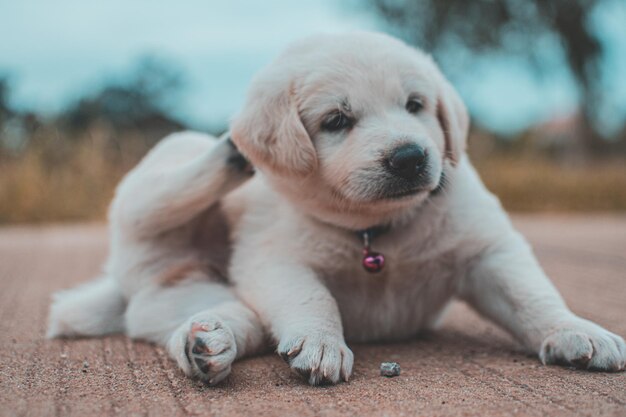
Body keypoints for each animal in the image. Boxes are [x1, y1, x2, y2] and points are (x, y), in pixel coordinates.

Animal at [45, 31, 624, 384]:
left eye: (415, 105)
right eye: (337, 121)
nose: (411, 157)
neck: (378, 232)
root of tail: (130, 283)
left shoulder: (488, 251)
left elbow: (532, 296)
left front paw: (575, 331)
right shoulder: (276, 262)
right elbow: (312, 298)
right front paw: (323, 345)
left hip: (191, 298)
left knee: (208, 321)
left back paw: (208, 346)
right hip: (162, 180)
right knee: (163, 192)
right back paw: (231, 153)